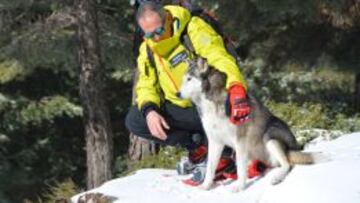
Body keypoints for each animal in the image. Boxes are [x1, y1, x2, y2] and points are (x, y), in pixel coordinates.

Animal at [179, 57, 322, 192]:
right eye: (183, 79)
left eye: (189, 79)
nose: (177, 94)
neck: (212, 101)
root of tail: (295, 148)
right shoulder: (215, 142)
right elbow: (210, 168)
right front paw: (205, 186)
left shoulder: (240, 140)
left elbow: (240, 169)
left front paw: (240, 187)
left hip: (270, 137)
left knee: (287, 164)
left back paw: (276, 177)